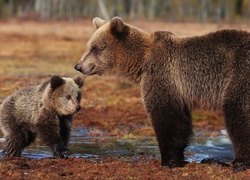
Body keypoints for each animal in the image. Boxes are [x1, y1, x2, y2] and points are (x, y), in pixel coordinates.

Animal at [74, 16, 250, 170]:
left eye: (96, 47)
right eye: (89, 45)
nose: (78, 66)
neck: (140, 62)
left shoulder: (162, 74)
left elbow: (166, 116)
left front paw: (168, 160)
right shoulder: (178, 91)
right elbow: (180, 122)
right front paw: (178, 157)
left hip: (240, 73)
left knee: (237, 112)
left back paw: (238, 162)